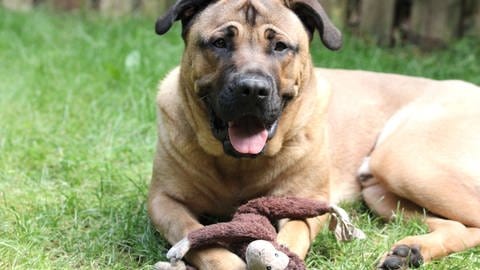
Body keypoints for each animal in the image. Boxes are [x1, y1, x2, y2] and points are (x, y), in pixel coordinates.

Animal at [149, 1, 480, 268]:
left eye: (280, 46)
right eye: (219, 42)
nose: (252, 89)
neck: (239, 164)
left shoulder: (307, 200)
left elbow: (291, 236)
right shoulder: (164, 201)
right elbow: (195, 235)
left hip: (404, 163)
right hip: (379, 192)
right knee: (457, 226)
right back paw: (410, 251)